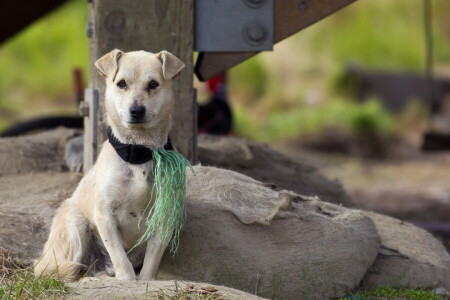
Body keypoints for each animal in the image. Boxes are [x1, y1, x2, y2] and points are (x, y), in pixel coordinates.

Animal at [33, 49, 185, 282]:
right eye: (121, 83)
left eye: (153, 84)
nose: (136, 110)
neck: (137, 152)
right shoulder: (105, 214)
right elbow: (119, 256)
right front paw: (127, 279)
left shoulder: (164, 217)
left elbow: (152, 259)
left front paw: (146, 281)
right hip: (75, 225)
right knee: (59, 269)